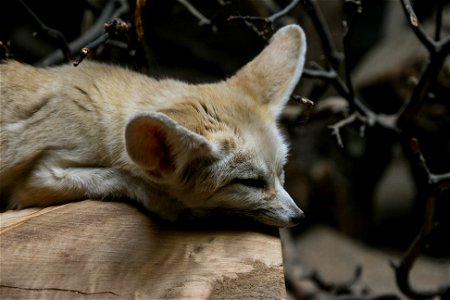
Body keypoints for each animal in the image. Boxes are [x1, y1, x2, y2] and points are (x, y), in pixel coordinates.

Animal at [0, 25, 306, 227]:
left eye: (281, 172)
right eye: (250, 182)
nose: (299, 217)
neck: (100, 110)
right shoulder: (37, 179)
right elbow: (115, 175)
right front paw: (164, 202)